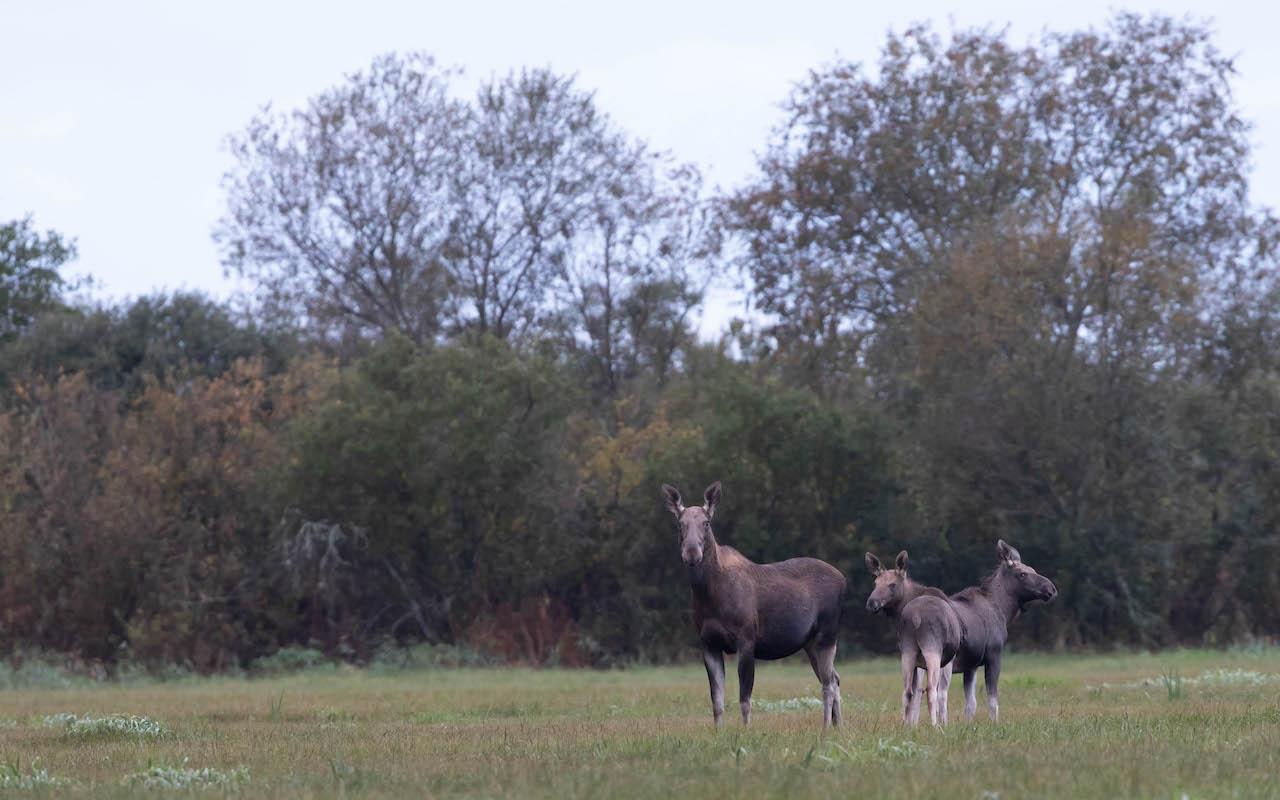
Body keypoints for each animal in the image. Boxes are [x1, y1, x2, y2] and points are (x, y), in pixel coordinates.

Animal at [665, 476, 844, 727]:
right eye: (680, 524)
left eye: (706, 523)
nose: (691, 553)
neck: (708, 594)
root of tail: (844, 579)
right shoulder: (708, 643)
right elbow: (717, 701)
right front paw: (718, 732)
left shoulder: (746, 640)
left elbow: (745, 698)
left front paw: (745, 730)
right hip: (809, 643)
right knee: (835, 679)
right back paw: (838, 727)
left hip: (827, 635)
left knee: (828, 684)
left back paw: (826, 728)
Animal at [896, 540, 1054, 727]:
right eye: (1022, 573)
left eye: (1033, 570)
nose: (1051, 588)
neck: (1002, 610)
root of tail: (914, 616)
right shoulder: (993, 655)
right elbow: (992, 700)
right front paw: (994, 724)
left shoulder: (971, 665)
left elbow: (971, 703)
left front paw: (968, 725)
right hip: (933, 651)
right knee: (932, 691)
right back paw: (937, 726)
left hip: (908, 653)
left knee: (908, 691)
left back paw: (908, 727)